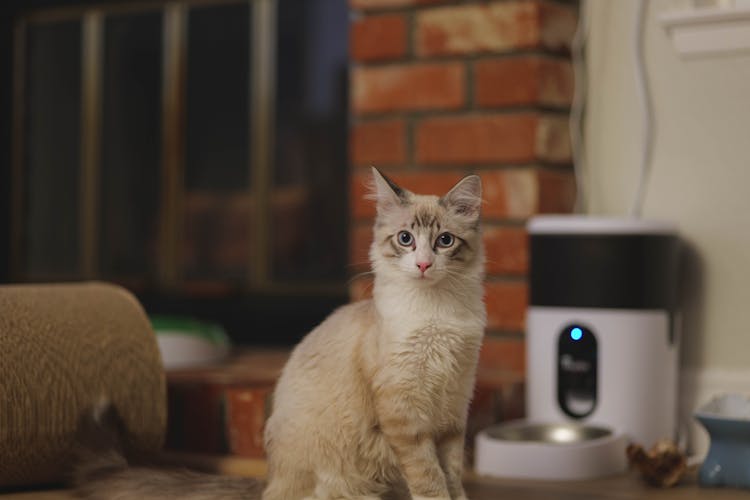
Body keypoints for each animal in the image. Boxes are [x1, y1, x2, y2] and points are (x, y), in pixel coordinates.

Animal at [75, 168, 488, 500]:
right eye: (405, 239)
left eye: (444, 241)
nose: (423, 265)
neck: (436, 314)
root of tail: (268, 483)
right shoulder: (404, 416)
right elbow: (429, 478)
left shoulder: (453, 410)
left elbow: (452, 474)